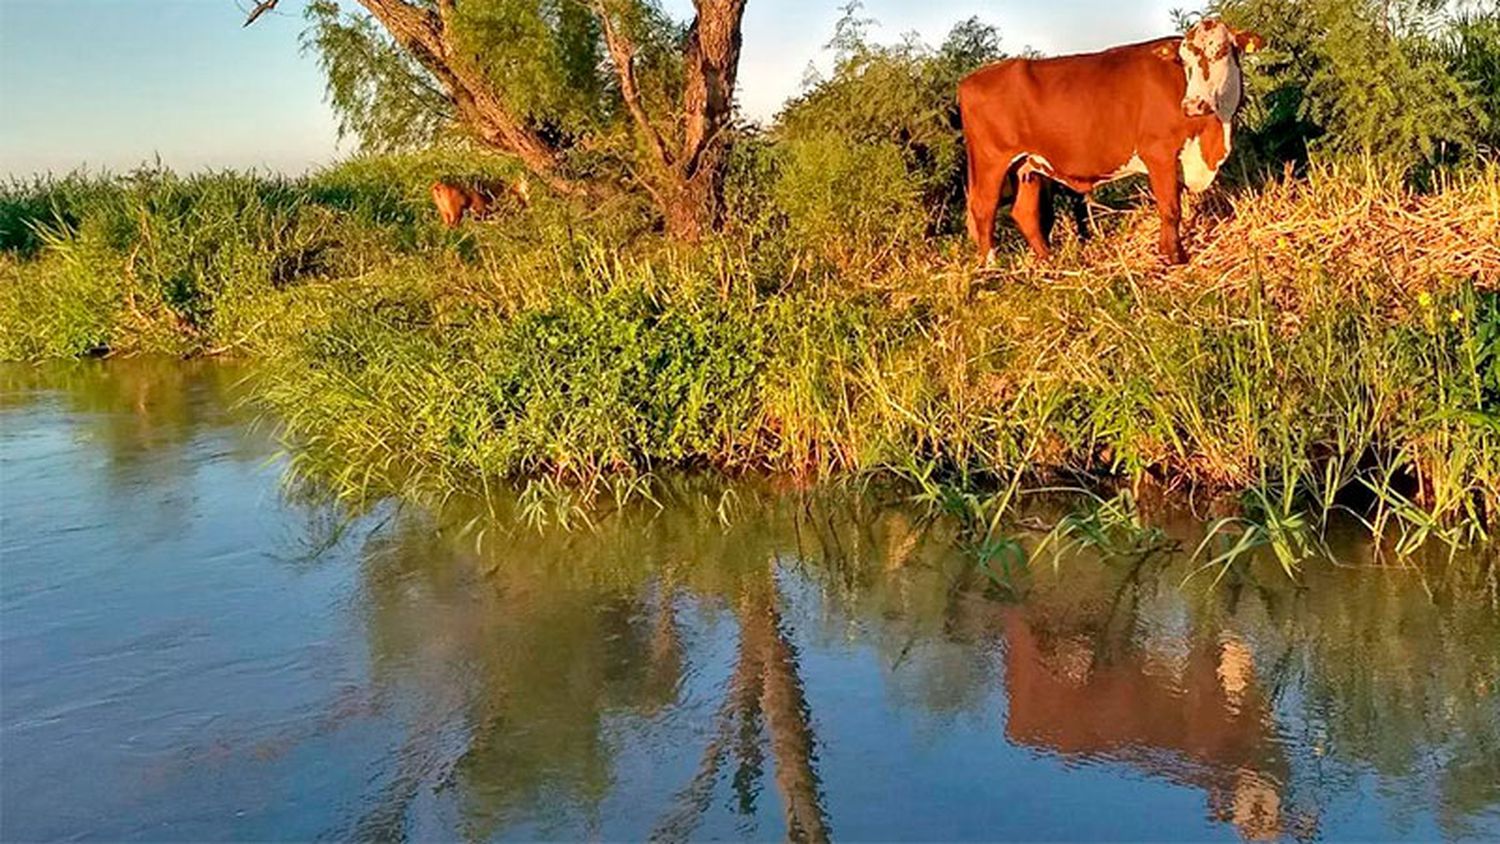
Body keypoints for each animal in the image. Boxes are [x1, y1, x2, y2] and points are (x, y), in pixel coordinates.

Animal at [954, 19, 1260, 263]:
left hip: (1028, 165)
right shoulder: (1158, 151)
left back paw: (1049, 263)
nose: (1193, 105)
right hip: (991, 162)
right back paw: (993, 267)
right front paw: (1174, 257)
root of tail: (970, 79)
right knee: (983, 210)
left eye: (1220, 51)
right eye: (1183, 60)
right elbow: (1170, 207)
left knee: (1024, 213)